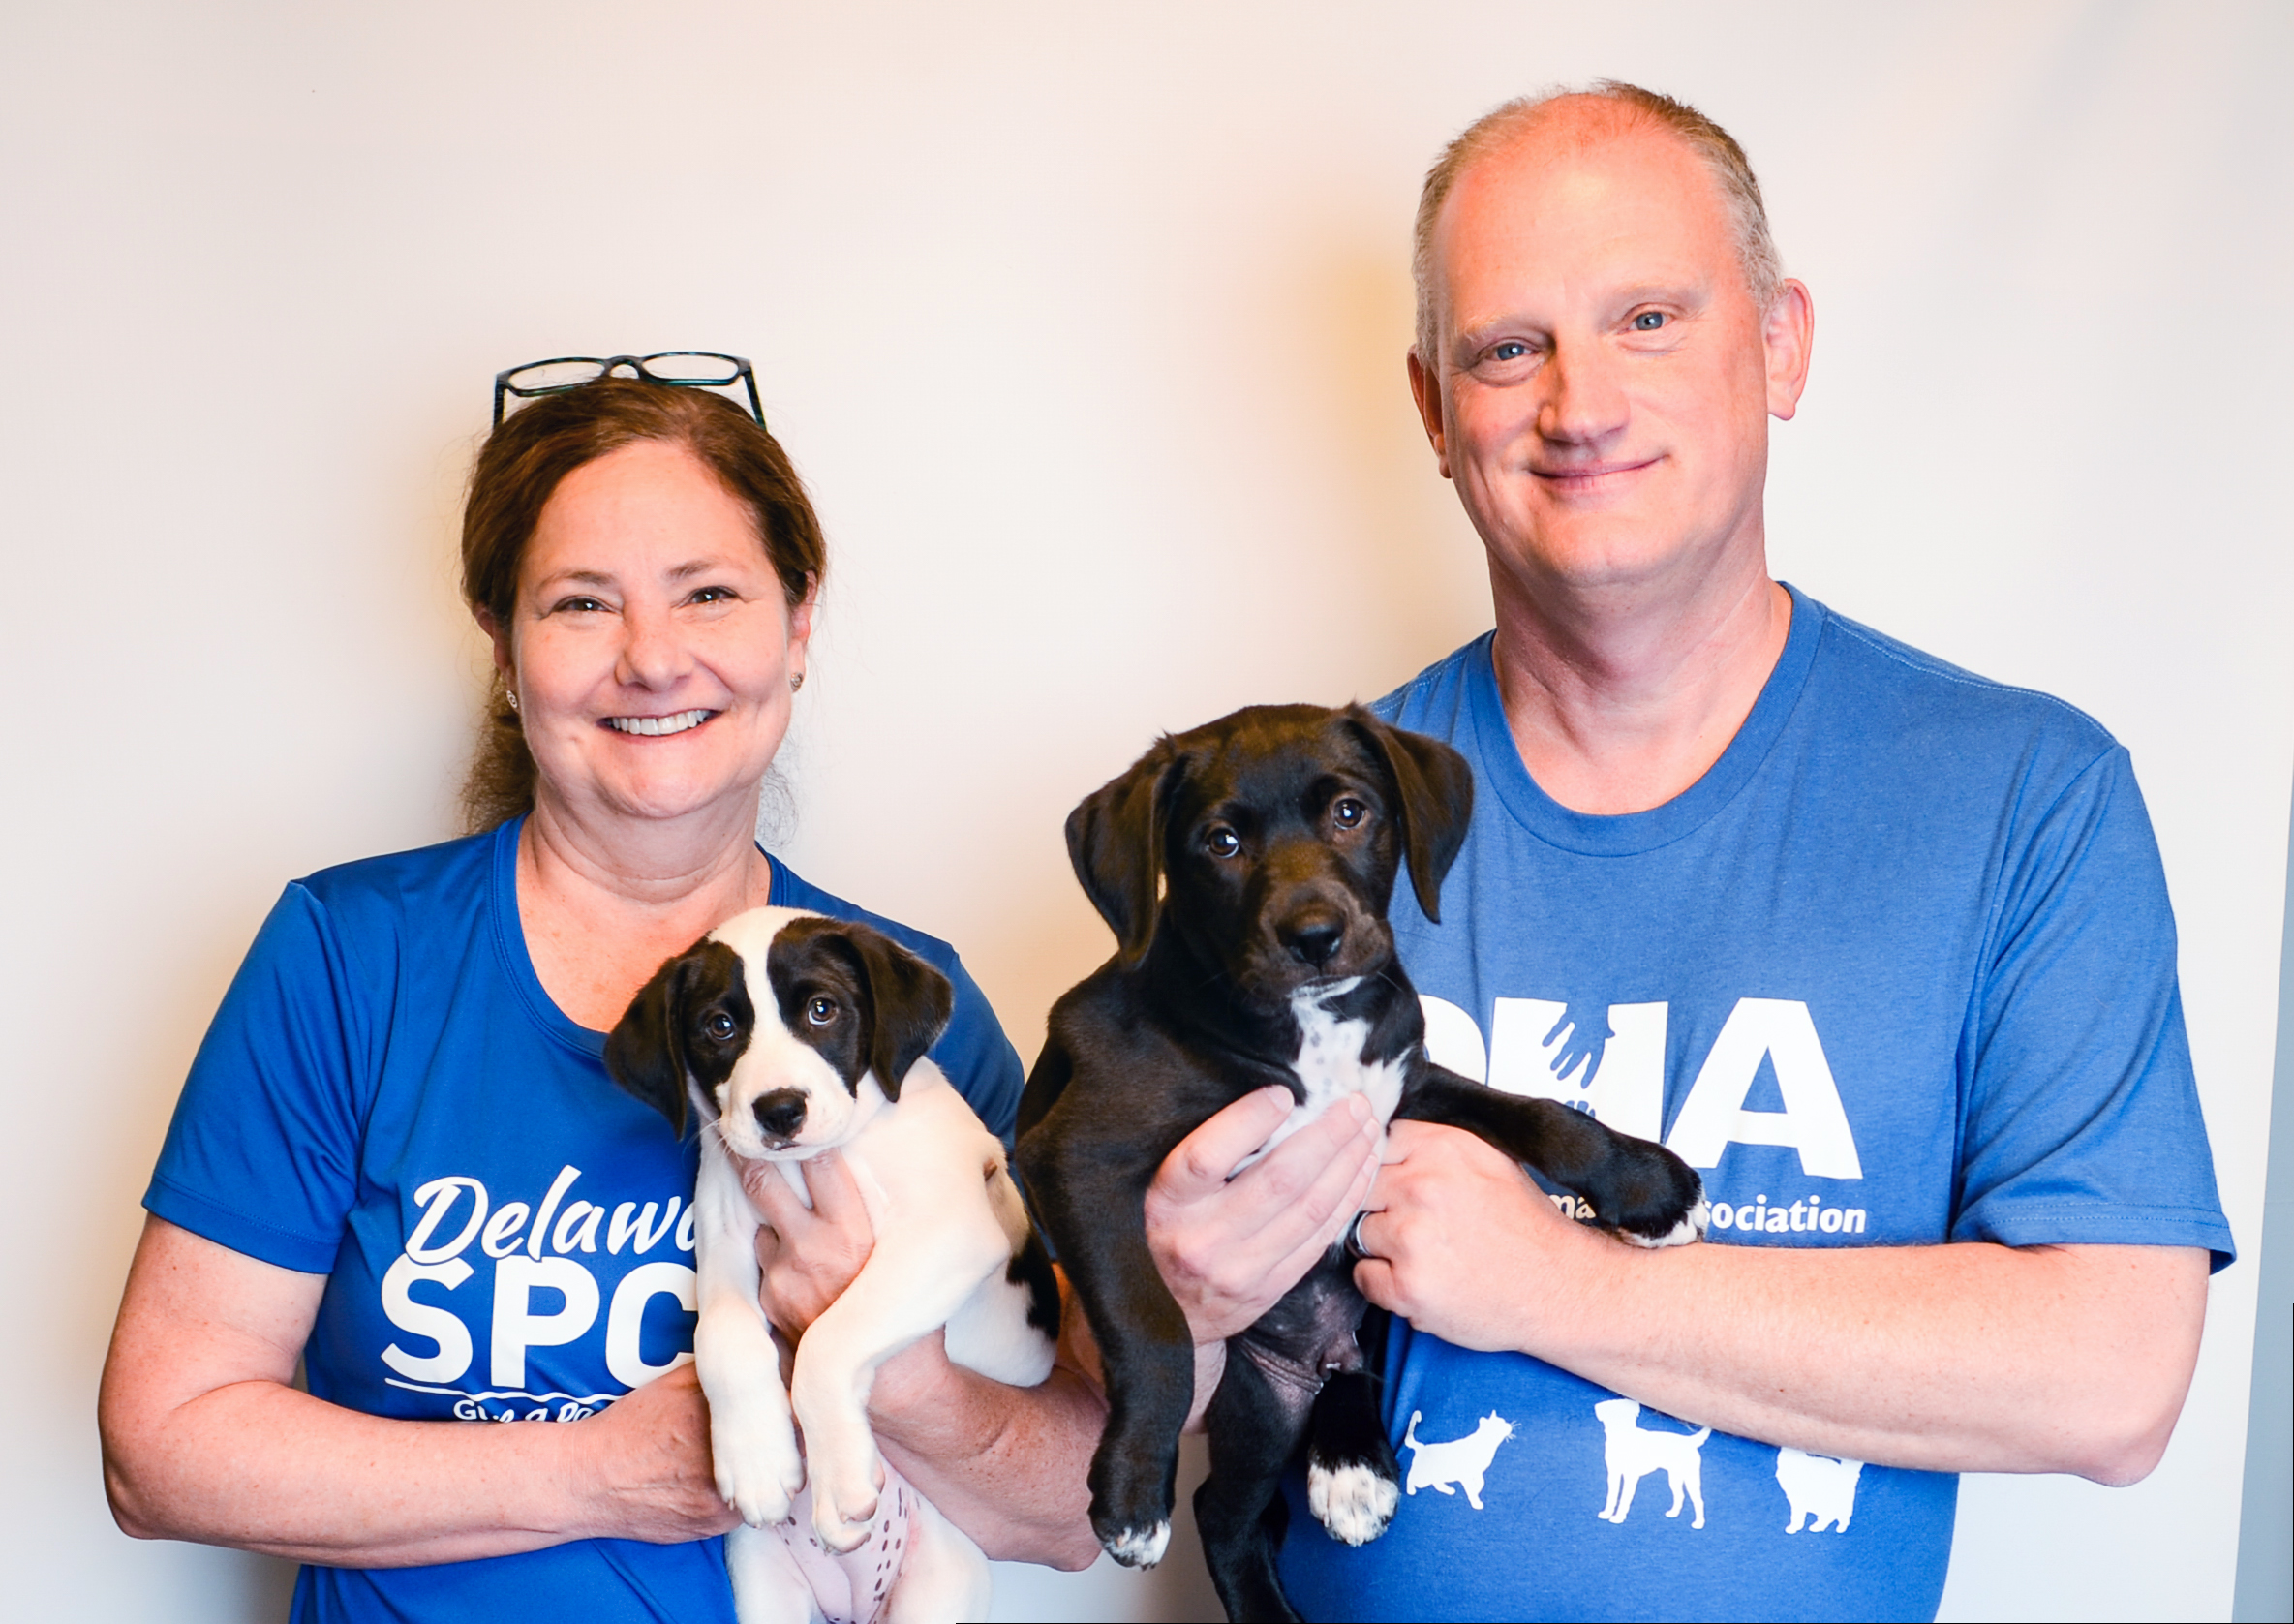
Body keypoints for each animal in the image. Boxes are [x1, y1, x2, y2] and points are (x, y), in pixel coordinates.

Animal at [605, 907, 1059, 1624]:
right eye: (719, 1025)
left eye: (823, 1009)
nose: (779, 1110)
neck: (806, 1165)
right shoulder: (725, 1245)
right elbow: (722, 1338)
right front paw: (755, 1456)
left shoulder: (949, 1234)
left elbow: (828, 1338)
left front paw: (840, 1476)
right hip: (768, 1591)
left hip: (937, 1588)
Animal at [1023, 701, 1706, 1614]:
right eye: (1219, 842)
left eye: (1350, 812)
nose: (1315, 935)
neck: (1307, 1032)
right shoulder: (1077, 1156)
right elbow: (1152, 1323)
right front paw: (1132, 1491)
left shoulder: (1400, 1091)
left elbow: (1541, 1115)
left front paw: (1648, 1185)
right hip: (1257, 1401)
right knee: (1221, 1512)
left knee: (1346, 1365)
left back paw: (1352, 1465)